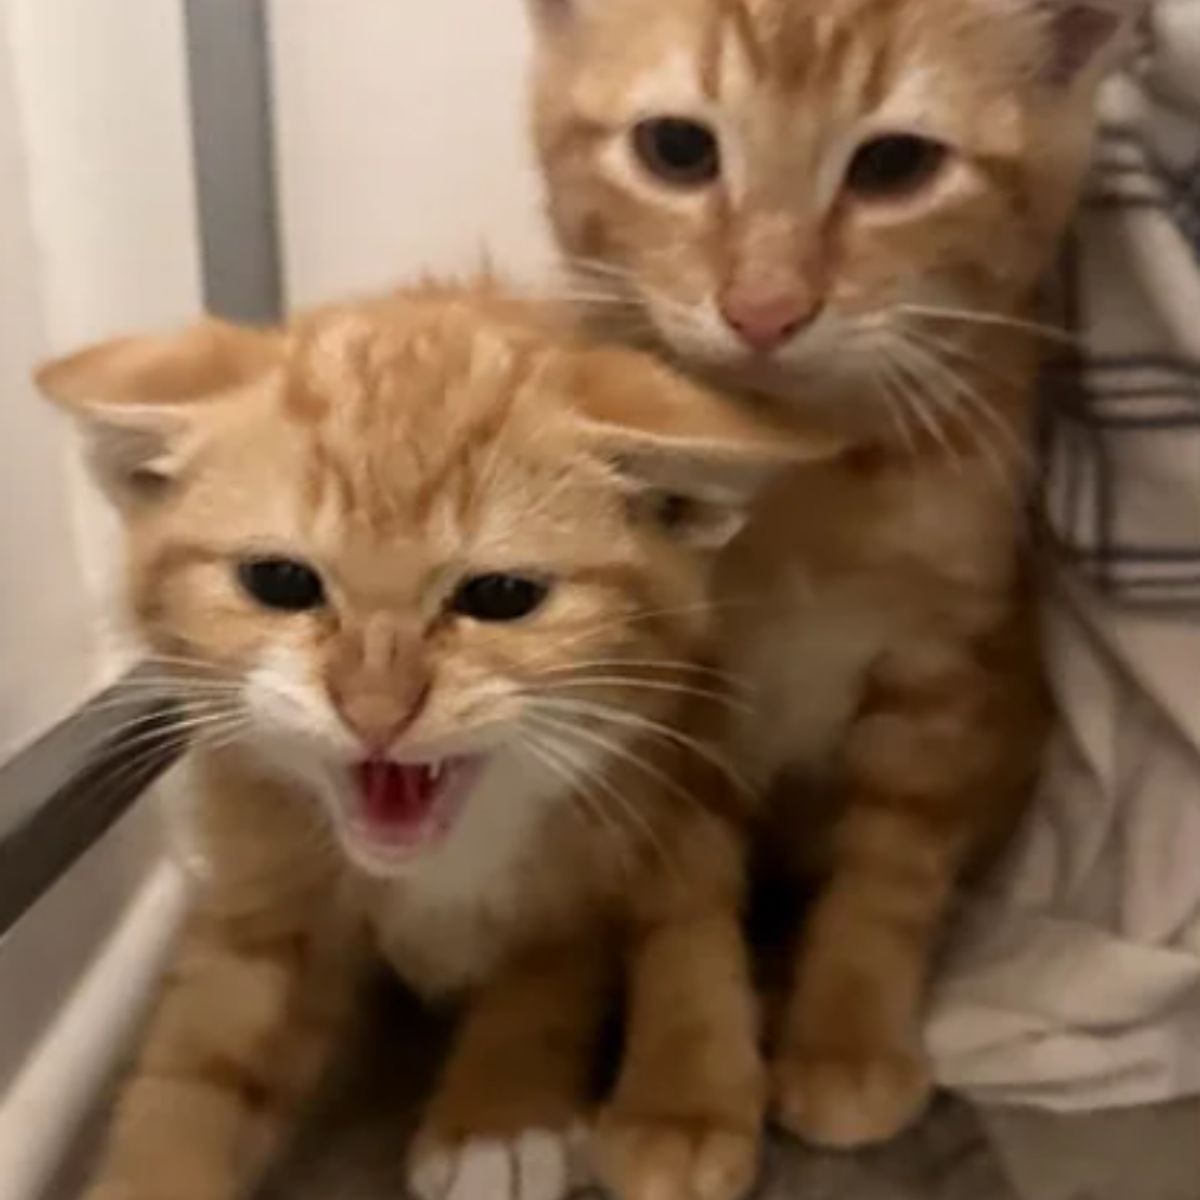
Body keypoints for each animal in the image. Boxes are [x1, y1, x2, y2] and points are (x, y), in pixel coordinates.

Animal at [35, 285, 835, 1200]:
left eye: (502, 595)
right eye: (280, 581)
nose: (375, 708)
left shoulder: (596, 845)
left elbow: (546, 971)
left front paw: (498, 1114)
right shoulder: (261, 866)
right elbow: (199, 1060)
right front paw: (160, 1160)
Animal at [528, 0, 1132, 1147]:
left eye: (896, 165)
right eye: (677, 150)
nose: (764, 309)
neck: (805, 479)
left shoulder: (946, 659)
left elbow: (890, 867)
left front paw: (846, 1034)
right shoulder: (671, 683)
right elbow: (680, 888)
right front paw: (684, 1091)